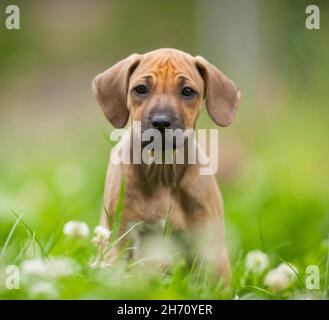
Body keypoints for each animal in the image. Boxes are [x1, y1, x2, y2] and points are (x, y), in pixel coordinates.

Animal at [91, 48, 240, 282]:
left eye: (187, 91)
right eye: (141, 89)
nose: (161, 122)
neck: (162, 171)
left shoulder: (209, 246)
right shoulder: (121, 237)